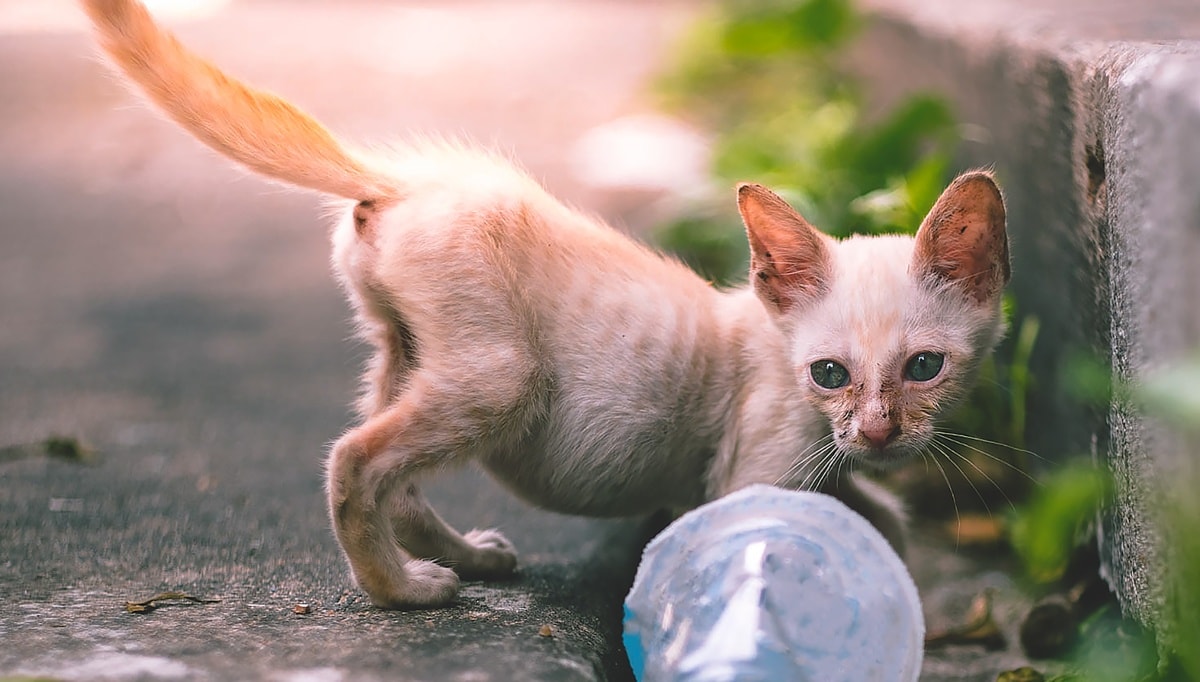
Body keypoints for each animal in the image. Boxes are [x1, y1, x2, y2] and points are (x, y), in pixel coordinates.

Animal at [79, 0, 1008, 607]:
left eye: (925, 367)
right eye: (829, 374)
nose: (881, 433)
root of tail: (412, 176)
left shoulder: (821, 474)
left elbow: (883, 520)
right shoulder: (752, 474)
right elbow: (777, 543)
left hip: (409, 350)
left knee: (396, 476)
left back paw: (464, 557)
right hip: (501, 375)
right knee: (354, 460)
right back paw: (401, 591)